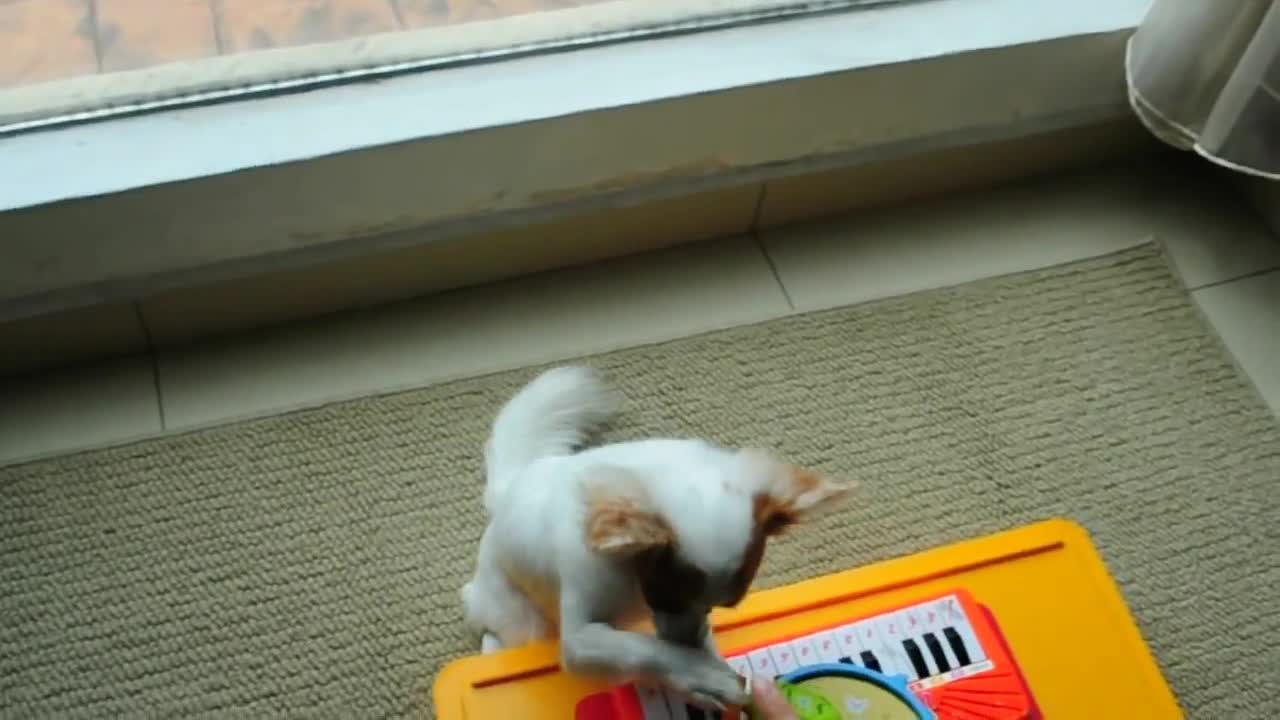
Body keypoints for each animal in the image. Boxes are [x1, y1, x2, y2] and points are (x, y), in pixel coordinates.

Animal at [458, 363, 849, 707]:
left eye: (716, 607)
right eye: (662, 596)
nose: (689, 639)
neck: (630, 574)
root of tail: (507, 491)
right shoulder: (581, 639)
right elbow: (645, 649)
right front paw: (705, 676)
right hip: (522, 617)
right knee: (497, 634)